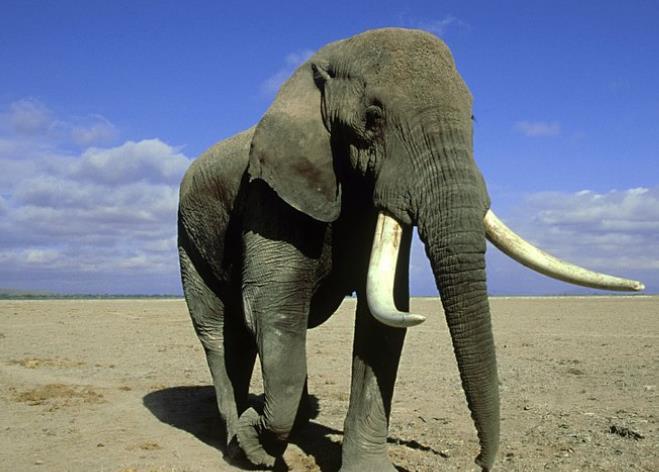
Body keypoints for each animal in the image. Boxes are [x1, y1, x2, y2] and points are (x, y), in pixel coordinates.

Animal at [177, 28, 643, 471]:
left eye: (472, 116)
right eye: (373, 116)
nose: (479, 461)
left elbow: (384, 315)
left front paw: (366, 468)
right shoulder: (268, 194)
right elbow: (274, 305)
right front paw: (255, 444)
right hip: (188, 233)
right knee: (220, 331)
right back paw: (232, 432)